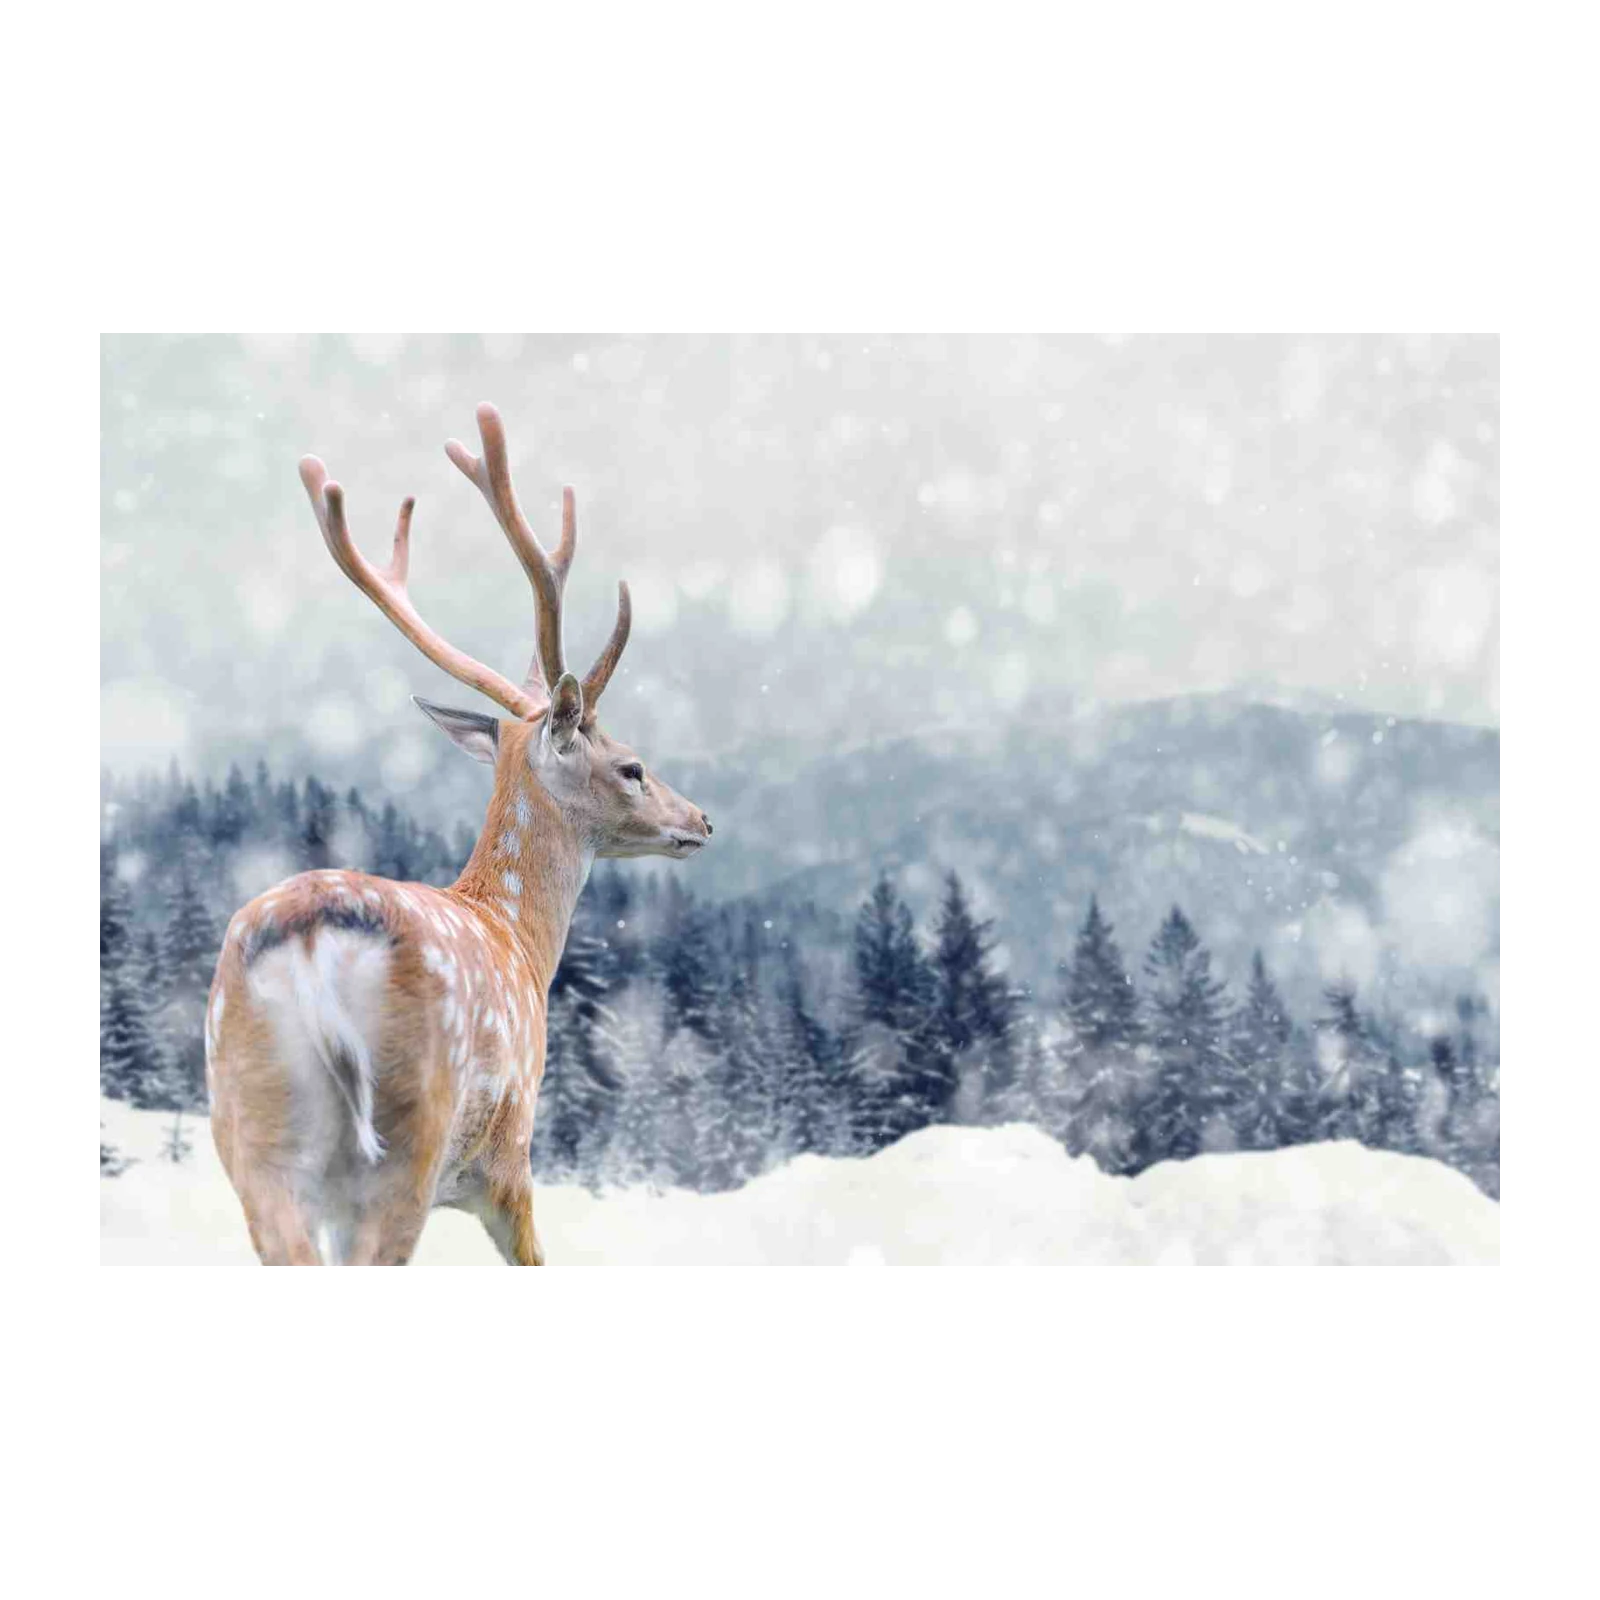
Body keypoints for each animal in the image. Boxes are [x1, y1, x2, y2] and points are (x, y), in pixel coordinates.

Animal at [205, 403, 713, 1270]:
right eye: (633, 767)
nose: (702, 820)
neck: (518, 938)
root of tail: (309, 946)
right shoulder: (509, 1159)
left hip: (251, 1137)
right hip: (412, 1133)